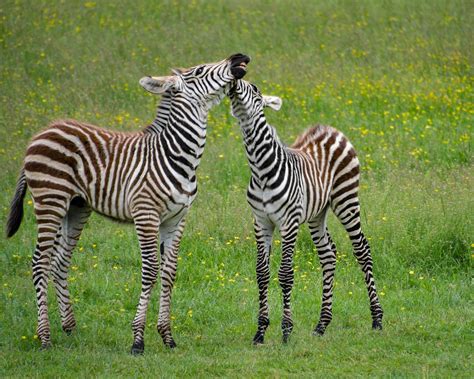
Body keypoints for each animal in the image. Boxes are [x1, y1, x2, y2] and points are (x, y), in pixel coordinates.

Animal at [6, 52, 252, 354]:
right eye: (199, 70)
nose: (240, 57)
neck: (177, 155)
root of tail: (43, 131)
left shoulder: (177, 218)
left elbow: (169, 272)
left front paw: (167, 336)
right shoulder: (146, 214)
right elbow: (150, 270)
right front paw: (138, 340)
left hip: (76, 206)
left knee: (60, 261)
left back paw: (70, 328)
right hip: (50, 199)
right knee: (40, 262)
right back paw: (44, 337)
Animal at [228, 81, 384, 346]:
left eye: (255, 91)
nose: (233, 82)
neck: (261, 170)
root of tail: (330, 129)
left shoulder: (289, 223)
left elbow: (285, 273)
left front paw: (286, 330)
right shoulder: (261, 222)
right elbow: (262, 273)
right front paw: (260, 331)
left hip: (346, 200)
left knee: (362, 250)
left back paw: (377, 318)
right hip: (317, 213)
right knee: (328, 254)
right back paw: (322, 324)